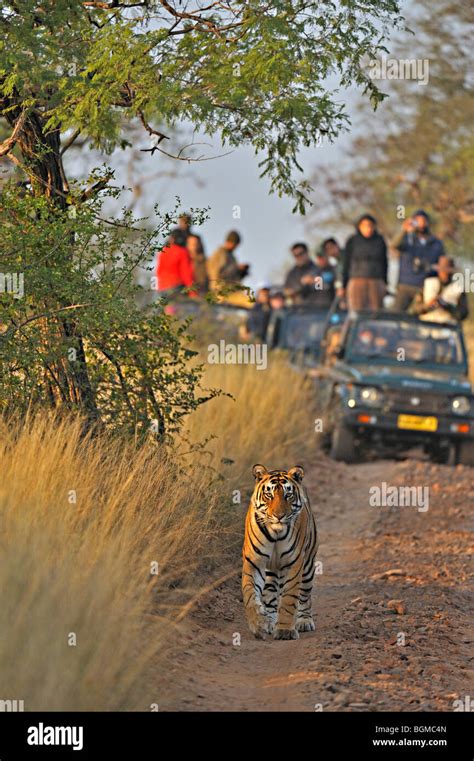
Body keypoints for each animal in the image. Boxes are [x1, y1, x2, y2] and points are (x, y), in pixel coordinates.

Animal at [242, 464, 318, 640]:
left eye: (288, 495)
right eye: (268, 495)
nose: (279, 516)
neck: (276, 532)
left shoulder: (294, 563)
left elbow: (289, 598)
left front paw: (285, 630)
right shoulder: (254, 562)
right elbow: (249, 594)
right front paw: (258, 623)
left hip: (308, 565)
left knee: (305, 595)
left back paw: (304, 621)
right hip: (271, 571)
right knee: (270, 595)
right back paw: (270, 621)